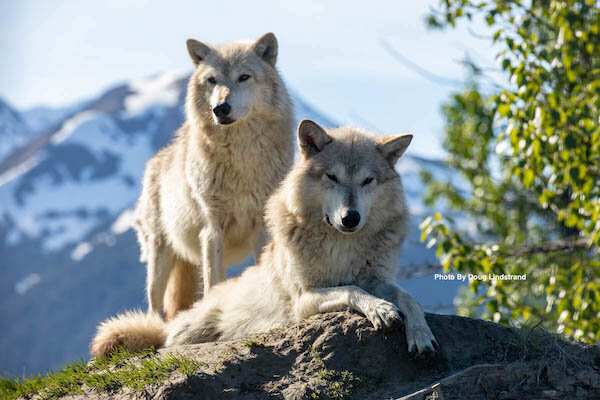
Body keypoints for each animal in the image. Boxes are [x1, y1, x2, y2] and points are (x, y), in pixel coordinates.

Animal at [91, 120, 438, 358]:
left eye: (368, 181)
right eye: (332, 177)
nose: (350, 218)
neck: (342, 245)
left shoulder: (379, 279)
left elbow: (409, 298)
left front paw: (421, 334)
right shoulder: (303, 299)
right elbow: (352, 289)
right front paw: (379, 309)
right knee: (166, 340)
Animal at [135, 32, 296, 318]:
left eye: (244, 77)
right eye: (212, 80)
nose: (221, 108)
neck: (242, 160)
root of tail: (155, 161)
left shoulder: (261, 226)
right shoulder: (212, 230)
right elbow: (212, 284)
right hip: (160, 257)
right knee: (154, 306)